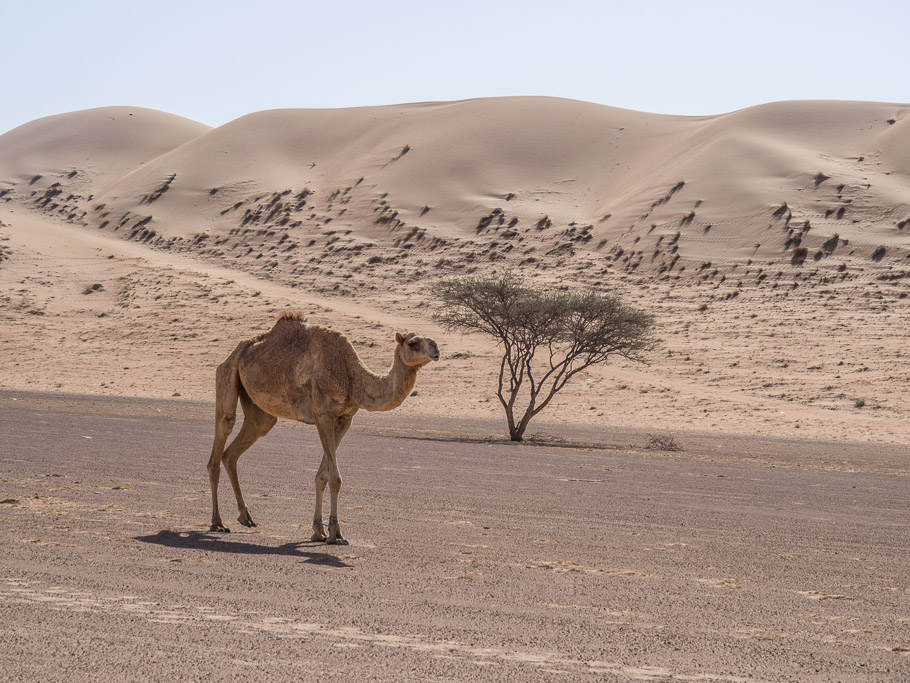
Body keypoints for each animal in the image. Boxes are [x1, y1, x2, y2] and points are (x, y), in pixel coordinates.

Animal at [206, 312, 440, 544]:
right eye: (412, 343)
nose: (435, 347)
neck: (352, 377)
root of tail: (237, 350)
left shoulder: (344, 419)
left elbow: (322, 476)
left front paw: (319, 530)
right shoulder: (324, 415)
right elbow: (335, 478)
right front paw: (335, 532)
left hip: (259, 410)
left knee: (236, 448)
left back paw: (245, 517)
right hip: (227, 373)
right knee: (222, 433)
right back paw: (217, 522)